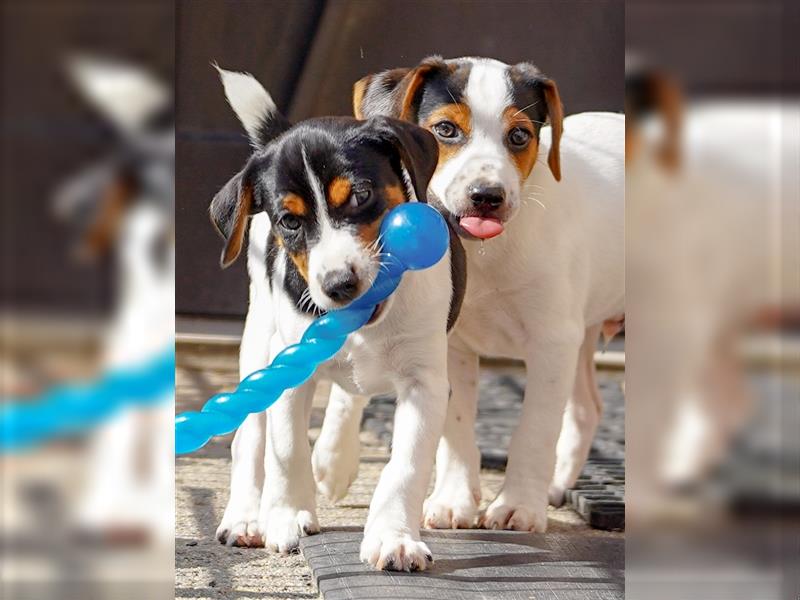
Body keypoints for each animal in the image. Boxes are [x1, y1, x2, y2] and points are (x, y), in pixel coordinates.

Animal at [209, 68, 466, 568]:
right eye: (289, 221)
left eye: (362, 195)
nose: (339, 285)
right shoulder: (290, 369)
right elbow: (287, 449)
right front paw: (288, 517)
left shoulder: (426, 382)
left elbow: (405, 466)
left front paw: (394, 538)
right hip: (259, 344)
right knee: (250, 436)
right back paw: (247, 517)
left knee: (351, 394)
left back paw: (336, 457)